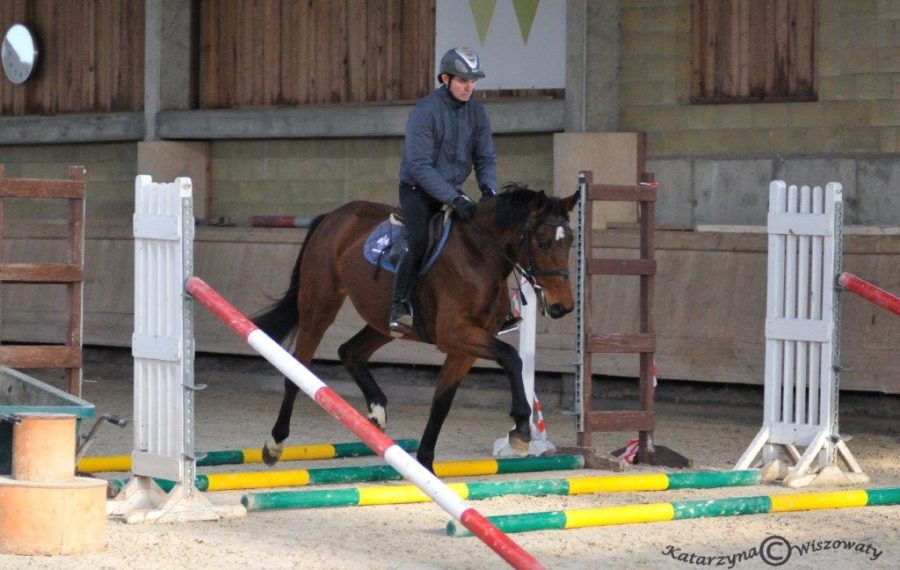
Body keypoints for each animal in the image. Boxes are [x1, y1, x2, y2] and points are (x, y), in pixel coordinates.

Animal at [255, 183, 576, 470]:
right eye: (542, 241)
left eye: (571, 240)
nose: (563, 307)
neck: (479, 256)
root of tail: (333, 216)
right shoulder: (454, 334)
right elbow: (511, 357)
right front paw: (521, 427)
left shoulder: (465, 347)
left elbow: (442, 402)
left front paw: (425, 466)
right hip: (319, 306)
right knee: (296, 369)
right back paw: (275, 444)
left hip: (385, 323)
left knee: (350, 351)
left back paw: (377, 411)